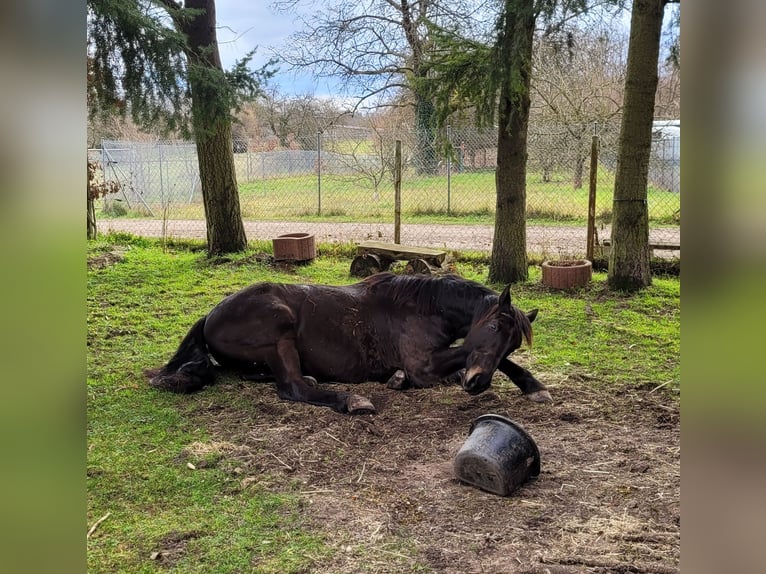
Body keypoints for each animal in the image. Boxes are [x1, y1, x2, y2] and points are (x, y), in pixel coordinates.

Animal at [146, 274, 552, 414]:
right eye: (494, 326)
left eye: (513, 343)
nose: (477, 383)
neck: (424, 306)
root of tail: (209, 316)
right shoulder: (425, 365)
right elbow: (467, 350)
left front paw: (533, 386)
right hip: (279, 330)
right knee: (293, 387)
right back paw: (352, 400)